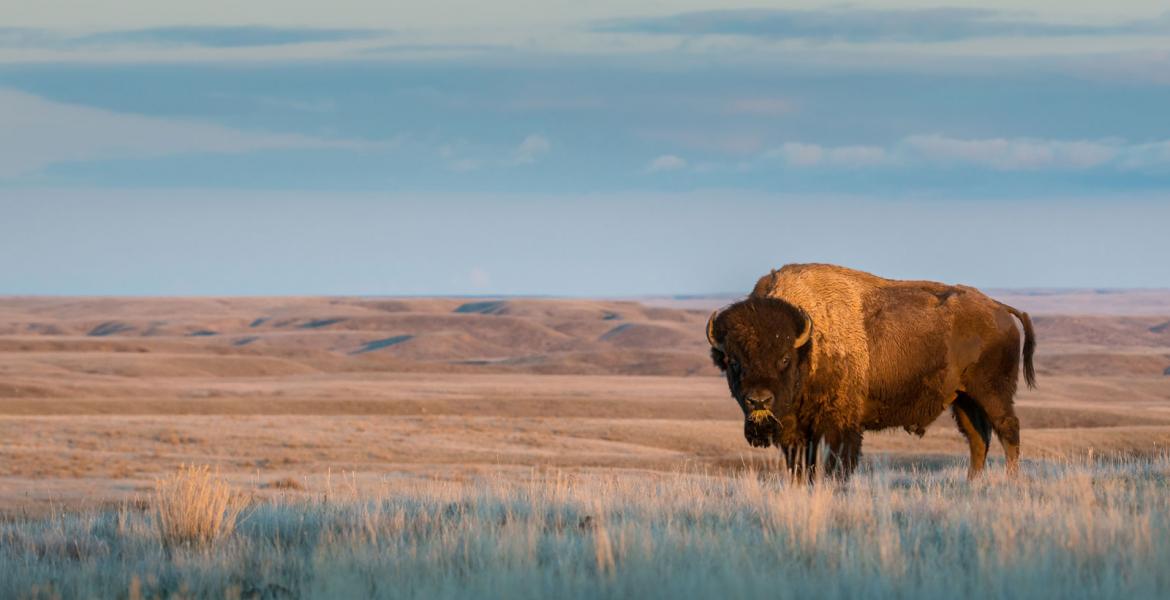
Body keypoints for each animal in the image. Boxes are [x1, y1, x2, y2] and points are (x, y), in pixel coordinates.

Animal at [707, 263, 1036, 481]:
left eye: (784, 358)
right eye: (733, 361)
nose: (758, 400)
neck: (809, 344)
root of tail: (1000, 308)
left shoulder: (838, 425)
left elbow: (836, 463)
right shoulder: (796, 431)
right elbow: (801, 466)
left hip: (992, 392)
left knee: (1008, 430)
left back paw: (1011, 481)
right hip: (963, 399)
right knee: (978, 439)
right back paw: (972, 483)